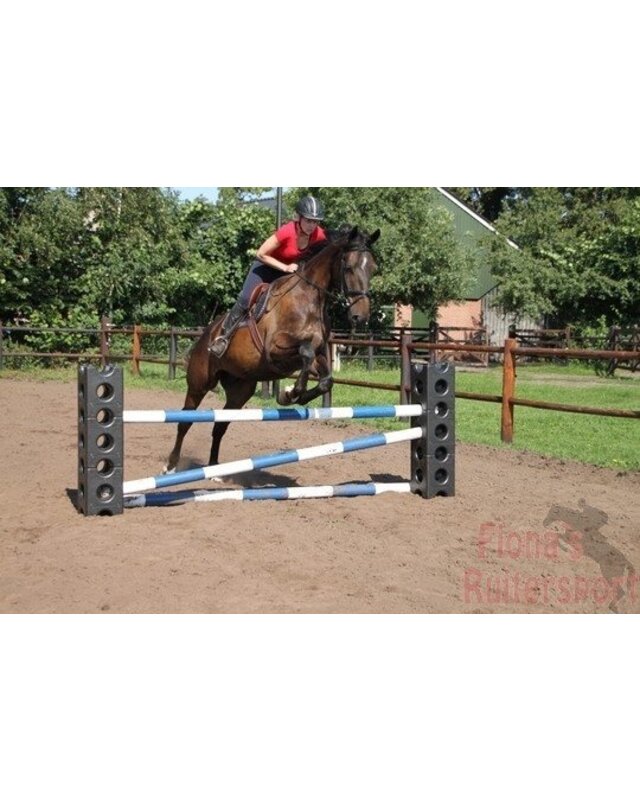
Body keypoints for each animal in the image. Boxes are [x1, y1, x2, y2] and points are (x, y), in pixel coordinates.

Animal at [165, 225, 380, 472]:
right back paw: (171, 466)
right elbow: (305, 352)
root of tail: (205, 337)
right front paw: (291, 392)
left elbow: (326, 379)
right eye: (348, 267)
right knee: (185, 421)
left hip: (240, 391)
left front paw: (290, 395)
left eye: (373, 269)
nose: (360, 317)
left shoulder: (318, 353)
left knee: (220, 426)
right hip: (199, 384)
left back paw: (214, 469)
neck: (309, 299)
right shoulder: (275, 349)